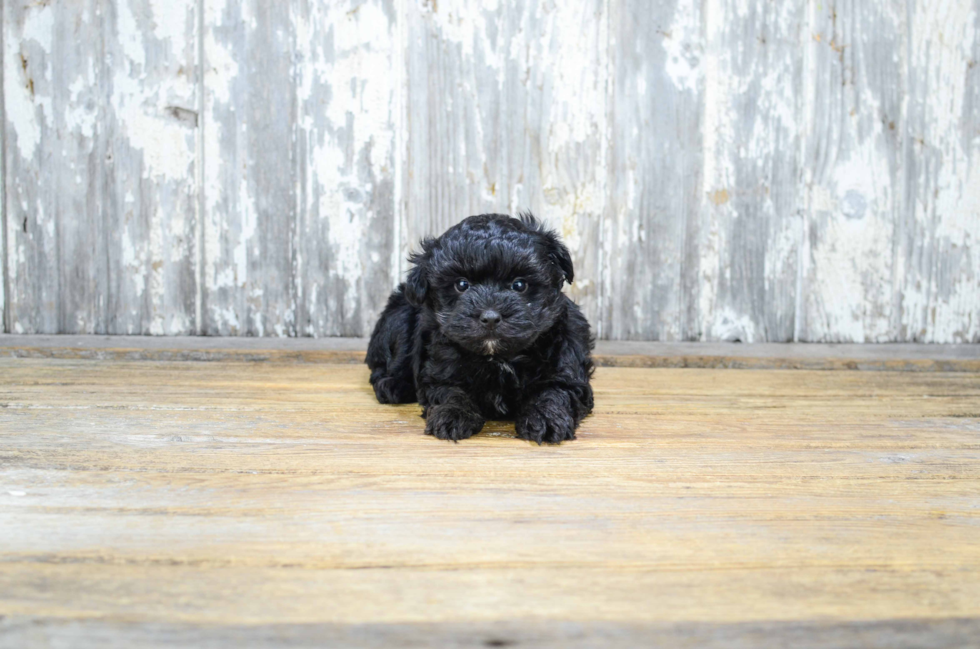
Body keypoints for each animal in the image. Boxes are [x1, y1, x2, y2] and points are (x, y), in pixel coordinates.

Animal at [368, 211, 596, 440]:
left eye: (519, 285)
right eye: (461, 285)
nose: (490, 317)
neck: (498, 357)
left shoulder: (566, 362)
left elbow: (554, 390)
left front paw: (546, 418)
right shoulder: (439, 370)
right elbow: (450, 391)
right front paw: (452, 414)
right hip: (400, 316)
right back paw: (393, 385)